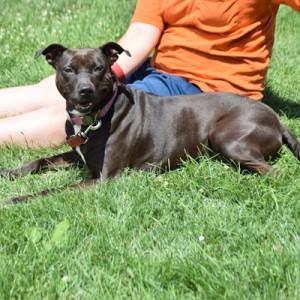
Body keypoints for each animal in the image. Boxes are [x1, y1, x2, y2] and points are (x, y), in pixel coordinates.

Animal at [0, 41, 300, 203]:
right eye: (68, 70)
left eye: (99, 68)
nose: (85, 90)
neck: (93, 118)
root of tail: (276, 119)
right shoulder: (78, 154)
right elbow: (41, 161)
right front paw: (10, 172)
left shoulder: (102, 179)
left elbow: (55, 189)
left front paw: (18, 199)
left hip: (228, 139)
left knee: (275, 173)